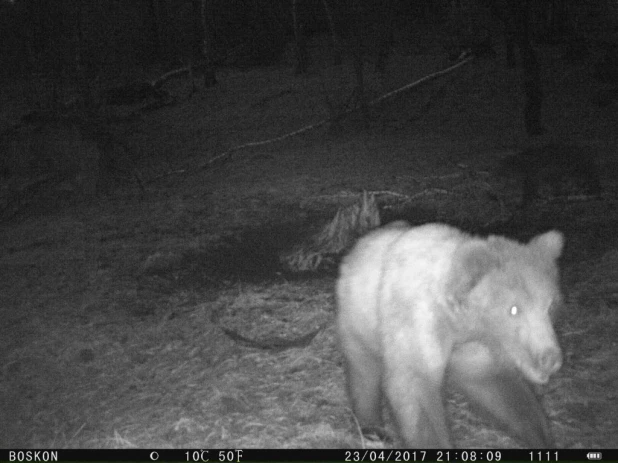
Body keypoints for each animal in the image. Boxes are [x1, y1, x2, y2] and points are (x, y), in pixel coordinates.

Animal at [336, 223, 564, 448]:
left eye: (550, 305)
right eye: (514, 309)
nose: (550, 358)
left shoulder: (473, 346)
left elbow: (501, 390)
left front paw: (541, 436)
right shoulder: (420, 321)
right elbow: (416, 388)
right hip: (360, 319)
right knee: (364, 371)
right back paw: (372, 428)